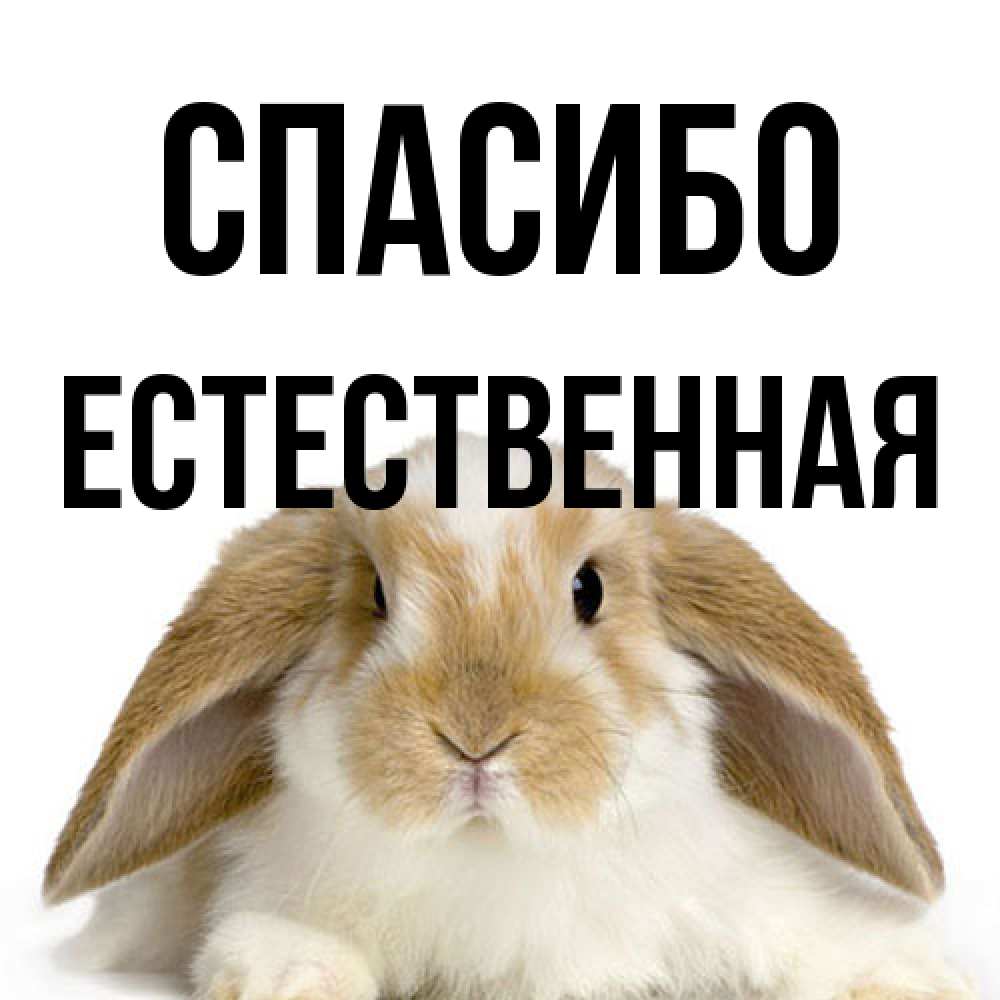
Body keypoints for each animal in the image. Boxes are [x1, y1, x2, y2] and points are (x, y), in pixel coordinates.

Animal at [45, 434, 975, 1000]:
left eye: (589, 589)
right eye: (376, 596)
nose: (475, 737)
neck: (495, 856)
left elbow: (817, 938)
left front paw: (911, 978)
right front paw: (292, 977)